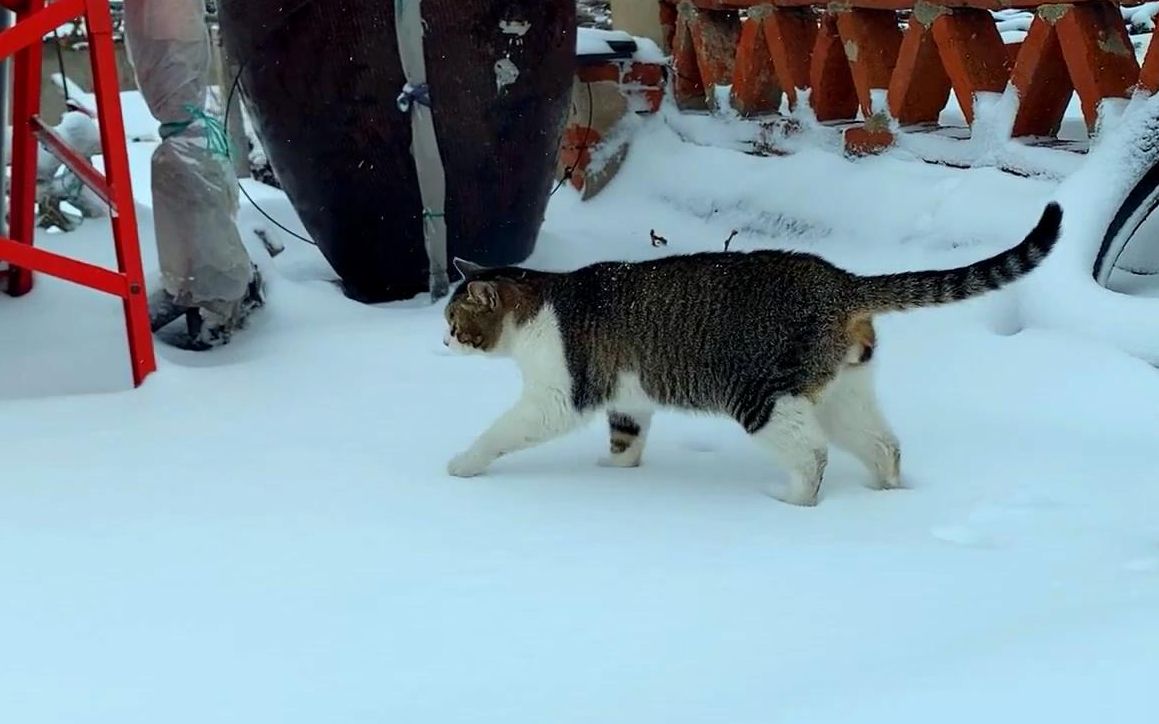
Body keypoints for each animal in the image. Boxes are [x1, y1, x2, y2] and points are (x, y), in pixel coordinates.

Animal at [447, 201, 1061, 507]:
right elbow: (626, 440)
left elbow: (501, 431)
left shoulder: (559, 395)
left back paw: (793, 500)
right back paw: (886, 496)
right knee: (884, 445)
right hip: (844, 389)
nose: (444, 341)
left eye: (454, 320)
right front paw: (615, 473)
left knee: (813, 453)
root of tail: (843, 282)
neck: (539, 303)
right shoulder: (629, 396)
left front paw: (464, 464)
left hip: (762, 396)